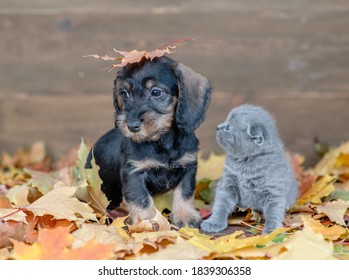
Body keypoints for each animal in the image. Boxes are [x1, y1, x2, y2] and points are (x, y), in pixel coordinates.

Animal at [86, 55, 212, 228]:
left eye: (156, 92)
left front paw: (185, 216)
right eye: (124, 93)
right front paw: (147, 223)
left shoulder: (188, 166)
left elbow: (185, 192)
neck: (161, 142)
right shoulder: (134, 173)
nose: (132, 125)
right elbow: (142, 200)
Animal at [200, 104, 298, 234]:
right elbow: (220, 204)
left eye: (228, 127)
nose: (217, 127)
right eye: (225, 121)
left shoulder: (273, 190)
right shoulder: (228, 183)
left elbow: (274, 211)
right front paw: (214, 222)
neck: (245, 163)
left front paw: (272, 230)